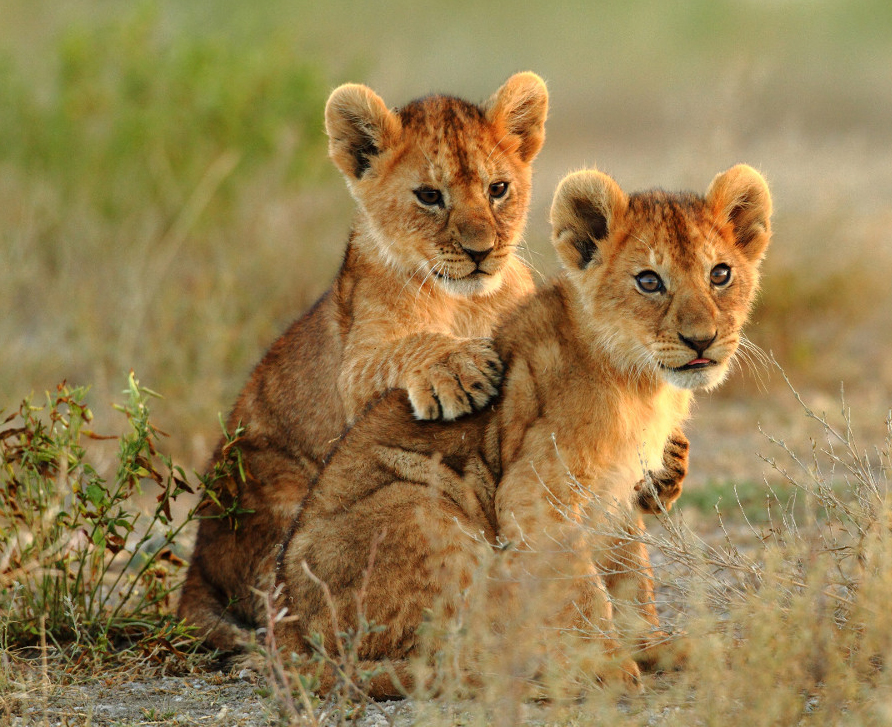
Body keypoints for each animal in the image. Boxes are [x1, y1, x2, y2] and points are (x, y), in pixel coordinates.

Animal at [177, 73, 550, 650]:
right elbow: (403, 350)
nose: (482, 251)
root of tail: (196, 565)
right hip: (272, 488)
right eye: (429, 196)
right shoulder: (356, 365)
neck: (466, 303)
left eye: (498, 189)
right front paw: (457, 368)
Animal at [274, 164, 773, 697]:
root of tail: (286, 631)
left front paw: (653, 645)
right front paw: (605, 662)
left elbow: (631, 576)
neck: (642, 385)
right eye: (648, 281)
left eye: (720, 274)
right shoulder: (536, 491)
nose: (702, 340)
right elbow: (580, 586)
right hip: (422, 506)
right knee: (432, 656)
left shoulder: (616, 493)